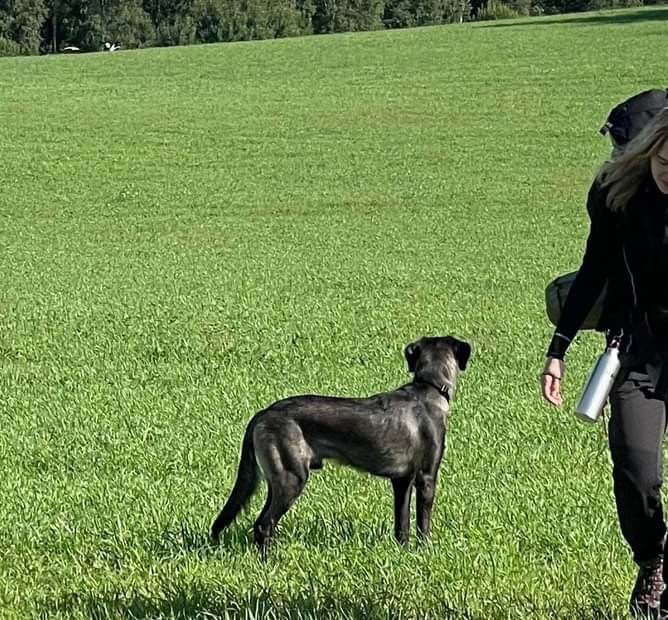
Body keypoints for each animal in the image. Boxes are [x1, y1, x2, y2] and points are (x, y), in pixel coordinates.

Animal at [210, 335, 471, 557]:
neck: (429, 389)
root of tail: (263, 413)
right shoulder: (426, 478)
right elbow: (423, 524)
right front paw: (424, 553)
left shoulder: (402, 480)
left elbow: (402, 523)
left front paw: (403, 553)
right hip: (291, 478)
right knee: (263, 525)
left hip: (278, 479)